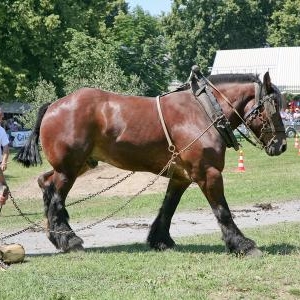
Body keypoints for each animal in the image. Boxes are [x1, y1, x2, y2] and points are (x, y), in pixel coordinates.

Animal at [14, 70, 286, 255]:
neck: (204, 111)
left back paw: (57, 236)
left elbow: (167, 208)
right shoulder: (207, 173)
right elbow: (222, 210)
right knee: (56, 198)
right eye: (273, 106)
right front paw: (242, 244)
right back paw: (68, 239)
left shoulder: (181, 176)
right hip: (68, 169)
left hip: (80, 164)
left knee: (45, 183)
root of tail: (53, 105)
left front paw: (160, 239)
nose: (282, 145)